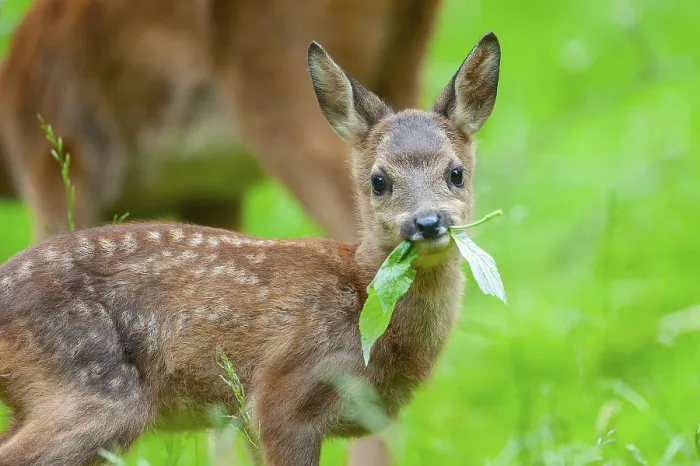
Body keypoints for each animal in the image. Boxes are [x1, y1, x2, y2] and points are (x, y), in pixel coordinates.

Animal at [0, 31, 501, 465]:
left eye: (456, 173)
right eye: (379, 180)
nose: (427, 222)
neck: (361, 296)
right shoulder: (283, 392)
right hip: (94, 388)